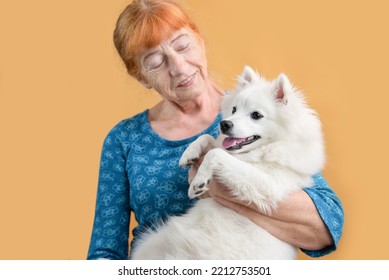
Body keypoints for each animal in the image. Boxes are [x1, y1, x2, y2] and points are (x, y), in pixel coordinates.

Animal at [130, 66, 324, 260]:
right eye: (234, 110)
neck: (256, 152)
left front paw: (198, 182)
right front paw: (189, 153)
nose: (224, 124)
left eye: (256, 115)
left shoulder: (268, 185)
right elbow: (208, 139)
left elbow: (216, 153)